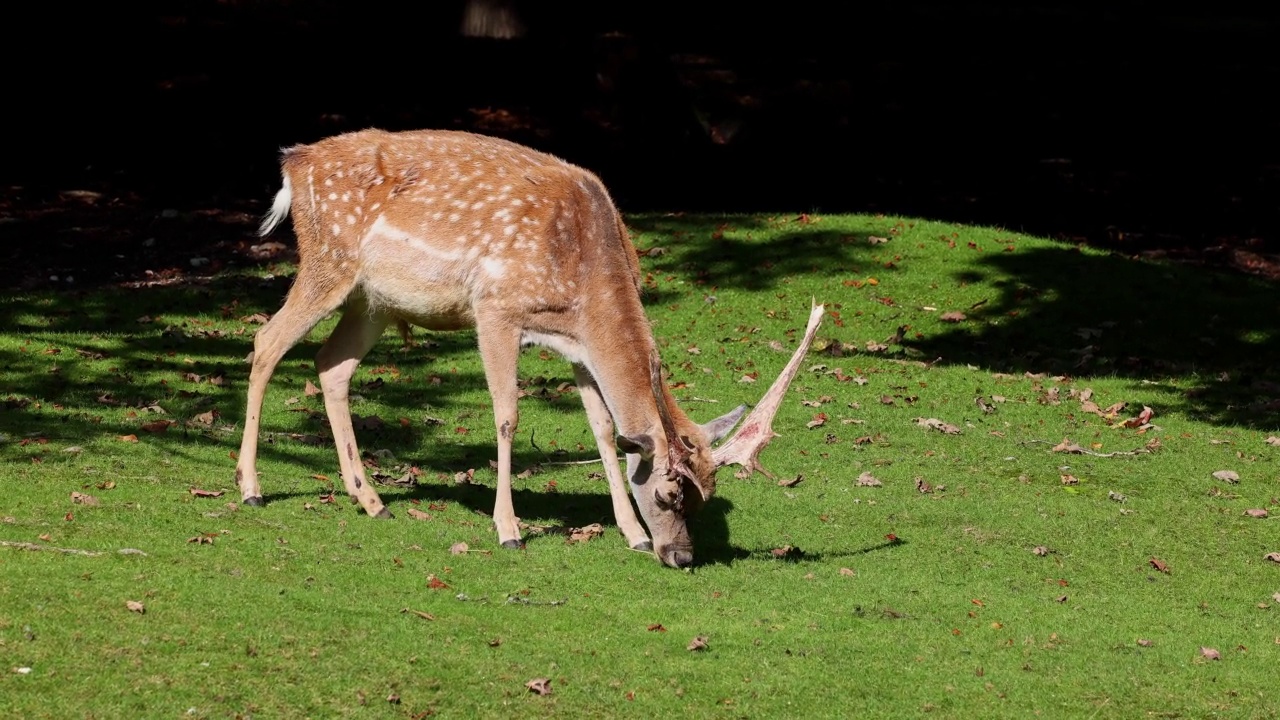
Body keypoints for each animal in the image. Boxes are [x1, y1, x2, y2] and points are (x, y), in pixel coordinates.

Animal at [235, 128, 824, 566]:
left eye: (707, 497)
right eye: (668, 492)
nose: (681, 556)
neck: (586, 277)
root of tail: (293, 165)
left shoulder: (577, 344)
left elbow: (604, 428)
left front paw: (631, 533)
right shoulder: (496, 308)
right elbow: (507, 415)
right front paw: (509, 529)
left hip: (372, 300)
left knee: (331, 365)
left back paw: (372, 499)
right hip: (328, 261)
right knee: (266, 341)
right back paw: (250, 487)